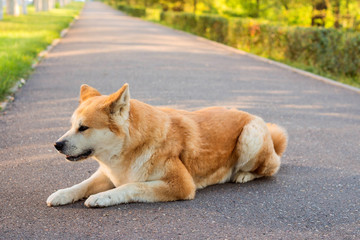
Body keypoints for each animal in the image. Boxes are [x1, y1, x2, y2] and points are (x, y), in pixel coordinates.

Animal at [46, 83, 288, 207]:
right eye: (71, 125)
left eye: (83, 127)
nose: (57, 144)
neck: (129, 149)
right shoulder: (107, 174)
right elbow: (82, 185)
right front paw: (62, 194)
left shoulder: (181, 185)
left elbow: (131, 186)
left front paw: (103, 197)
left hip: (250, 136)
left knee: (270, 167)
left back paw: (244, 175)